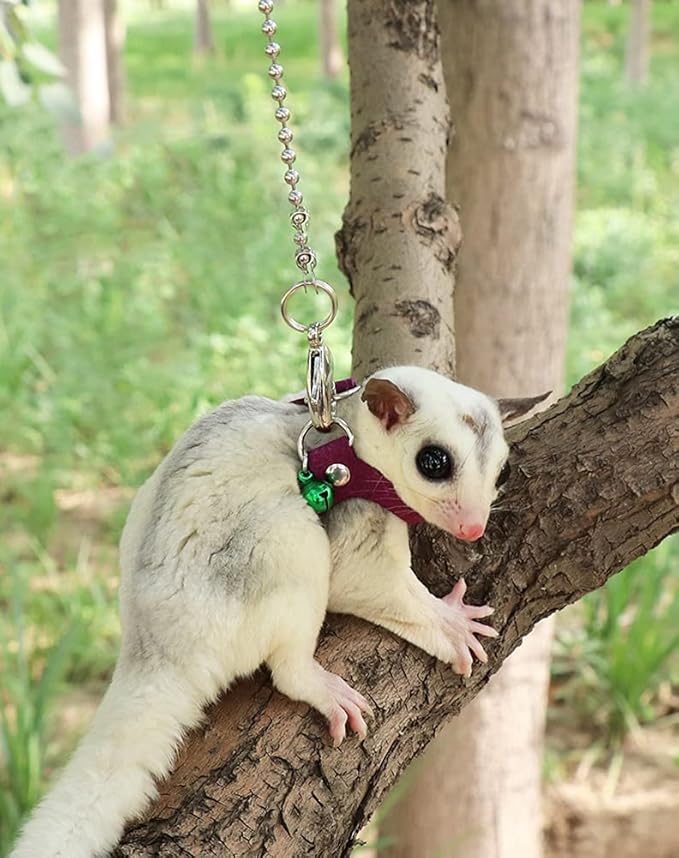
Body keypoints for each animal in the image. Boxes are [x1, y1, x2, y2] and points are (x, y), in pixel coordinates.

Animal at [11, 365, 545, 858]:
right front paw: (451, 624)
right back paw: (317, 685)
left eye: (502, 474)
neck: (349, 441)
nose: (473, 529)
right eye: (434, 463)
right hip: (283, 544)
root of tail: (155, 644)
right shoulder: (358, 515)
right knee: (290, 645)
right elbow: (358, 577)